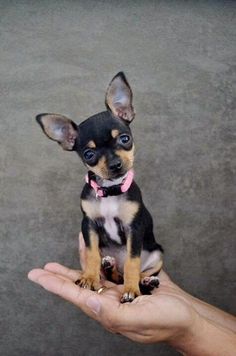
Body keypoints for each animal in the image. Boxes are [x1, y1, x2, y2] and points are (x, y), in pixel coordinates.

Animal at [36, 72, 163, 304]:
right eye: (89, 154)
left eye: (125, 139)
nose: (115, 164)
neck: (110, 191)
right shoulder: (89, 225)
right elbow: (92, 254)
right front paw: (89, 278)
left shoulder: (134, 228)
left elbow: (132, 261)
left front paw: (131, 289)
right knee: (114, 275)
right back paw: (110, 266)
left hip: (157, 253)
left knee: (135, 271)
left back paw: (146, 281)